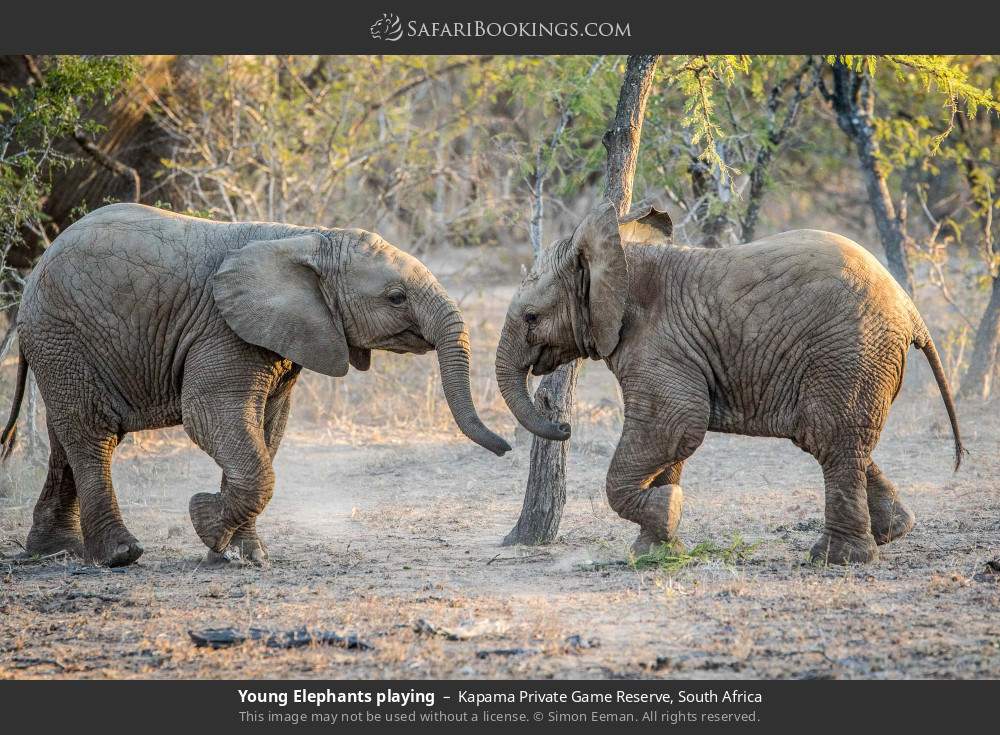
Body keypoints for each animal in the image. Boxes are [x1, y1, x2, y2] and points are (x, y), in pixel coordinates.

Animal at [1, 203, 510, 567]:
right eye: (396, 297)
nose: (506, 448)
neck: (307, 237)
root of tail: (32, 279)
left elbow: (266, 429)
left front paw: (239, 554)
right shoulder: (222, 329)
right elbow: (212, 417)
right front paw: (206, 523)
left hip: (62, 346)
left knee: (65, 436)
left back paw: (55, 550)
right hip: (62, 334)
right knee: (94, 434)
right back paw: (120, 555)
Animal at [495, 201, 963, 565]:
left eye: (532, 318)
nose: (564, 426)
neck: (622, 256)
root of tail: (910, 308)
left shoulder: (660, 343)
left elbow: (674, 423)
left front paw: (669, 511)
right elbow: (672, 443)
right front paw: (655, 551)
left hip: (850, 351)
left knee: (831, 439)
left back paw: (836, 559)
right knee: (835, 440)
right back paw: (893, 531)